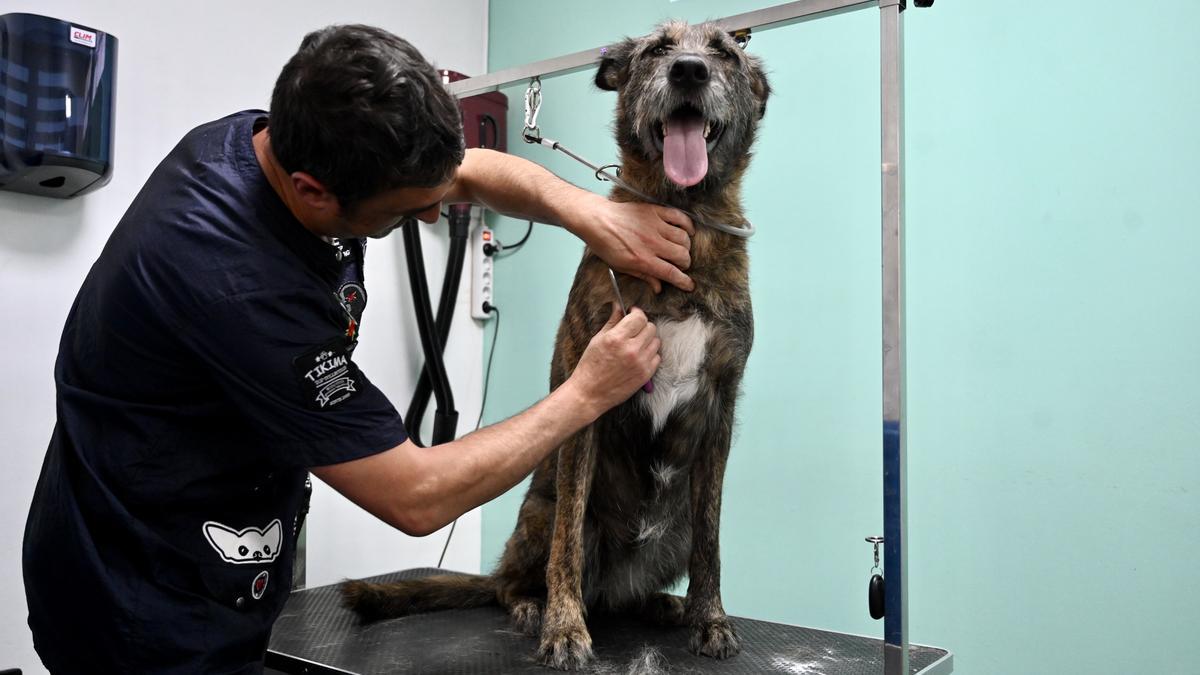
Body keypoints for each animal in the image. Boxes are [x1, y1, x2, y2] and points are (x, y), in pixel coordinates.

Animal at [340, 21, 768, 667]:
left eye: (723, 52)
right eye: (657, 51)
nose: (689, 70)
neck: (684, 218)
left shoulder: (721, 403)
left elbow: (711, 541)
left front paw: (709, 618)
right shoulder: (585, 403)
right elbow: (568, 539)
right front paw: (564, 630)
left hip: (672, 528)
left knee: (640, 582)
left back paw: (662, 605)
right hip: (537, 517)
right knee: (516, 578)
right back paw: (532, 606)